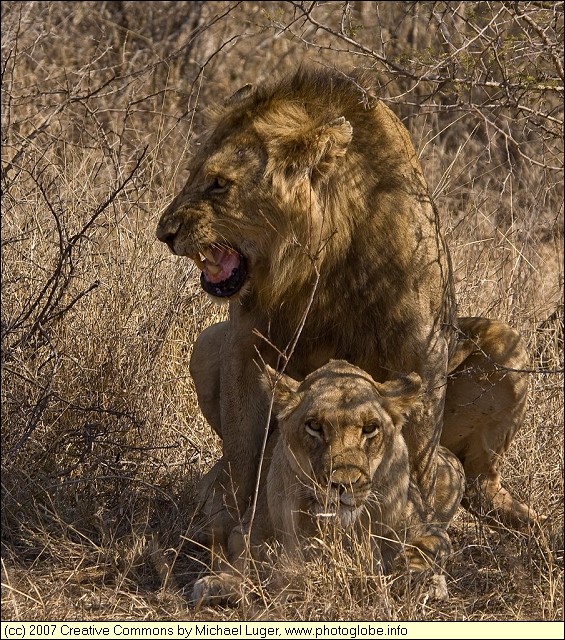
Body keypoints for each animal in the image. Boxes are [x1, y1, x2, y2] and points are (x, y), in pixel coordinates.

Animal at [156, 67, 537, 554]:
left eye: (220, 183)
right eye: (193, 175)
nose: (164, 233)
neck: (323, 256)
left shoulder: (423, 350)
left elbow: (416, 450)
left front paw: (413, 527)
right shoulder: (246, 343)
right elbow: (244, 454)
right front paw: (231, 527)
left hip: (509, 348)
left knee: (477, 482)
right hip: (206, 344)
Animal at [192, 360, 465, 606]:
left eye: (370, 428)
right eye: (314, 426)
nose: (343, 485)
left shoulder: (432, 531)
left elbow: (419, 553)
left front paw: (419, 581)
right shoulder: (248, 529)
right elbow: (245, 559)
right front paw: (223, 582)